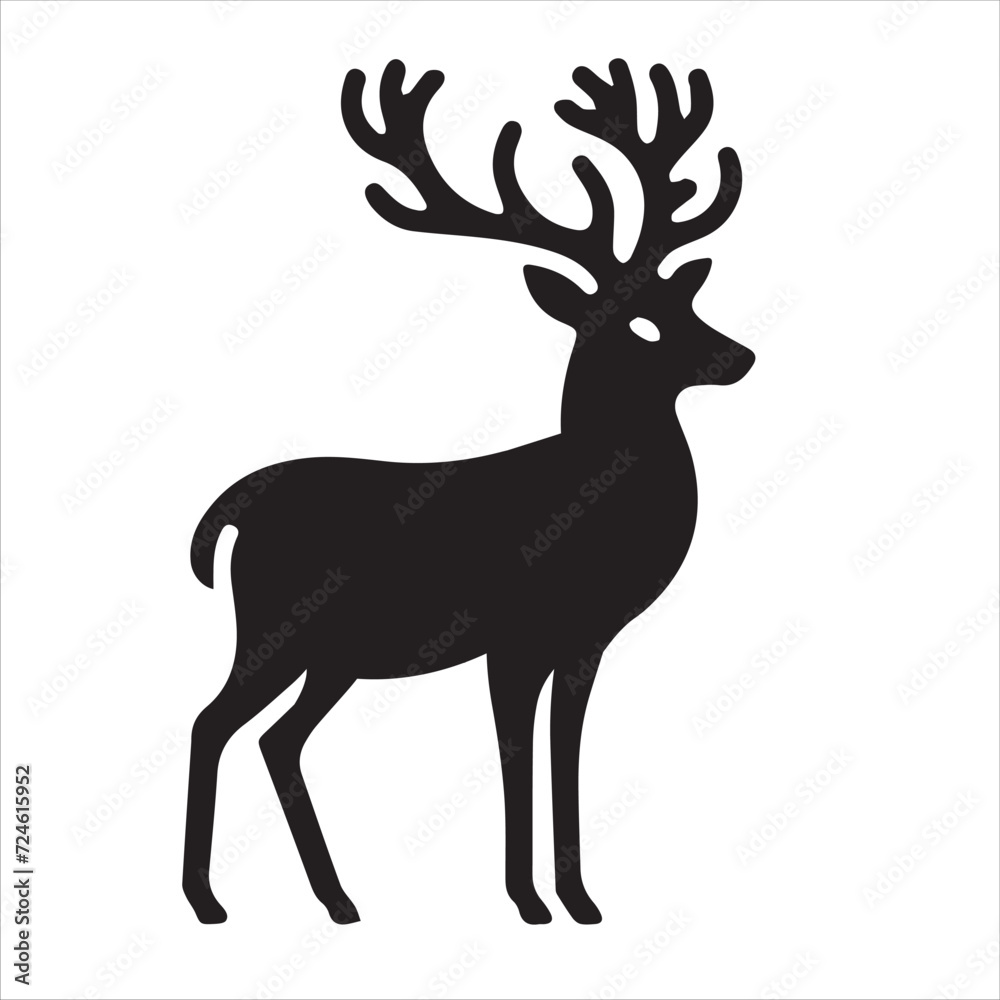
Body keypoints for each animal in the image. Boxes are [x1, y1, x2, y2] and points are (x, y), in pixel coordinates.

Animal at [182, 58, 754, 927]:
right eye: (641, 325)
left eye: (685, 300)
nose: (741, 355)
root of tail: (234, 509)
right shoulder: (512, 637)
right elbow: (516, 755)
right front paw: (528, 900)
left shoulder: (583, 641)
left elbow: (564, 752)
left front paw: (580, 899)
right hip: (277, 626)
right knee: (211, 722)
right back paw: (208, 901)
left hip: (334, 654)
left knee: (278, 739)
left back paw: (338, 899)